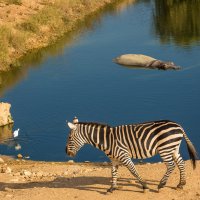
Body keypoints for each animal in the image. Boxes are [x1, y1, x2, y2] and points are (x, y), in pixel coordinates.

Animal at [66, 117, 198, 192]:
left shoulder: (124, 156)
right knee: (181, 163)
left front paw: (145, 186)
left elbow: (133, 171)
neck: (107, 140)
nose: (66, 152)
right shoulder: (114, 159)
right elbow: (113, 173)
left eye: (69, 138)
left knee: (171, 165)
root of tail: (178, 126)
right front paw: (112, 188)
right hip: (173, 148)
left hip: (165, 149)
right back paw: (181, 184)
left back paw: (161, 185)